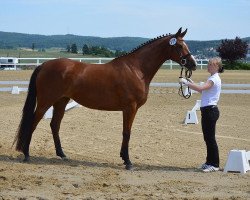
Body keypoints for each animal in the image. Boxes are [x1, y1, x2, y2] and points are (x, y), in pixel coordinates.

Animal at [14, 27, 197, 170]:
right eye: (179, 45)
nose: (193, 64)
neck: (136, 69)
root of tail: (44, 65)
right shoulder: (130, 108)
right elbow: (126, 133)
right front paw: (128, 161)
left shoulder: (130, 109)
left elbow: (126, 132)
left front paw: (124, 157)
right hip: (46, 102)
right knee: (33, 122)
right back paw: (27, 154)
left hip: (61, 101)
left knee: (54, 125)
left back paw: (62, 154)